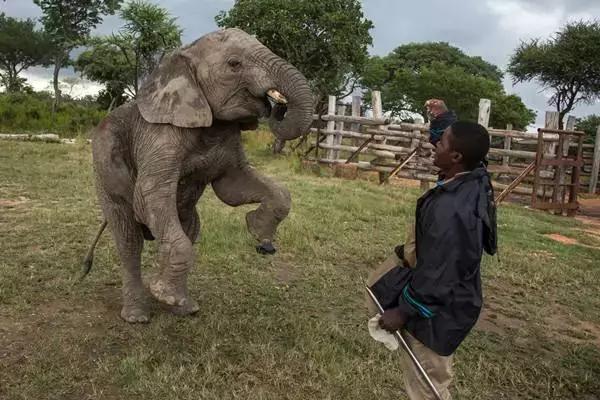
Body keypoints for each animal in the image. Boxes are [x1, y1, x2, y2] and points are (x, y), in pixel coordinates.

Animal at [82, 28, 314, 324]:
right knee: (129, 239)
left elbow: (235, 186)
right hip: (104, 172)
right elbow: (149, 195)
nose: (277, 106)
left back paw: (184, 308)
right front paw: (163, 293)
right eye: (234, 64)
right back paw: (138, 315)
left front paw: (259, 235)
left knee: (188, 228)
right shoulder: (159, 135)